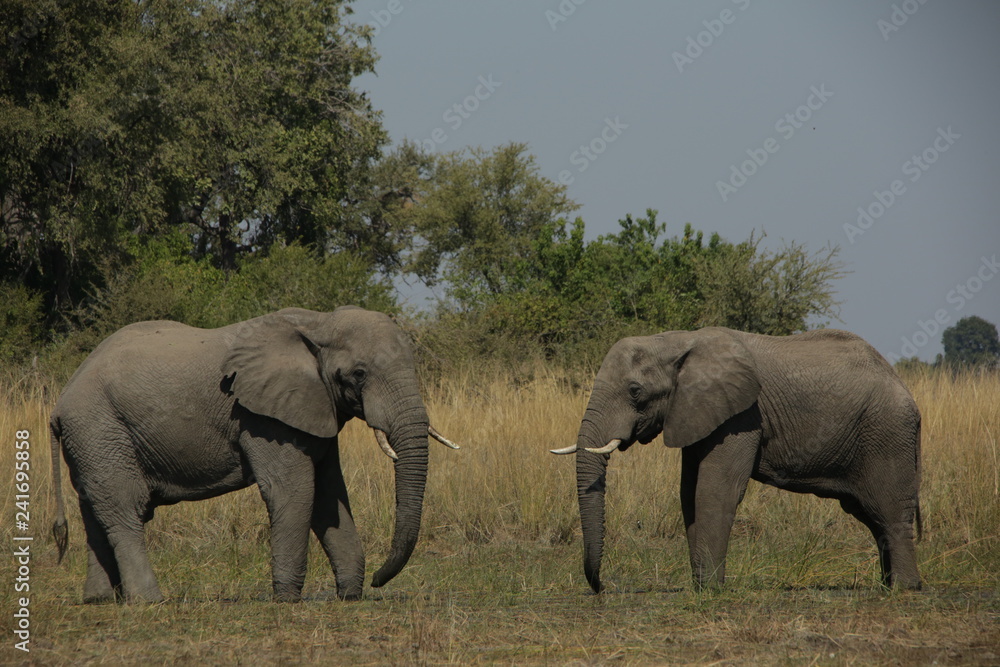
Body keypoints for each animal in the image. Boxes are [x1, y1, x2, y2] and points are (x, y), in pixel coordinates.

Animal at [49, 306, 458, 603]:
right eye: (359, 374)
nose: (377, 581)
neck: (319, 323)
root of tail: (60, 401)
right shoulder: (262, 417)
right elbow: (295, 491)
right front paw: (287, 599)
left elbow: (329, 496)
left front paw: (349, 595)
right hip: (99, 426)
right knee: (125, 507)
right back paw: (150, 601)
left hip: (93, 438)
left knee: (94, 508)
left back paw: (100, 600)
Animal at [552, 327, 922, 592]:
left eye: (634, 391)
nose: (601, 587)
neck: (677, 340)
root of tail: (904, 389)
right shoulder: (695, 413)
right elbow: (689, 493)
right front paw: (700, 586)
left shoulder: (741, 415)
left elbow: (715, 490)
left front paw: (710, 590)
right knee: (871, 516)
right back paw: (890, 585)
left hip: (887, 433)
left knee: (888, 511)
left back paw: (903, 590)